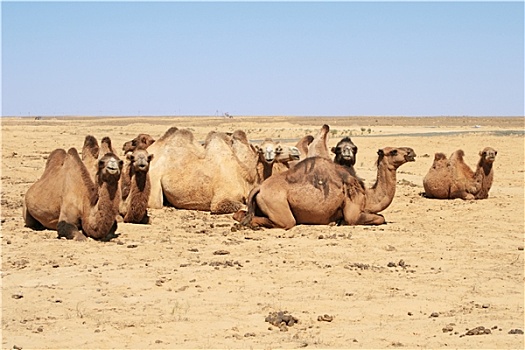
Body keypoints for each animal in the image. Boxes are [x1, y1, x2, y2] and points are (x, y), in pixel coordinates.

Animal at [235, 147, 416, 230]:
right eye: (393, 151)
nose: (411, 152)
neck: (367, 195)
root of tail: (259, 188)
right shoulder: (353, 213)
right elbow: (380, 218)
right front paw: (339, 221)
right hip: (277, 204)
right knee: (286, 222)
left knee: (241, 214)